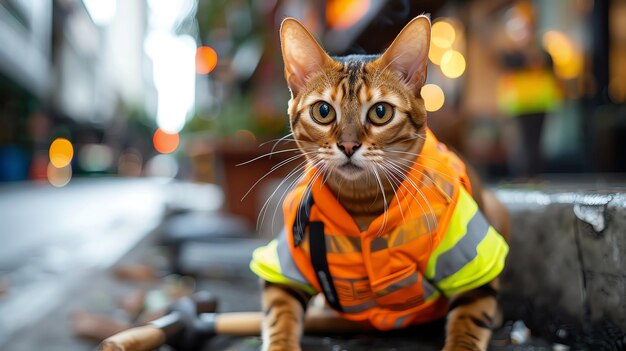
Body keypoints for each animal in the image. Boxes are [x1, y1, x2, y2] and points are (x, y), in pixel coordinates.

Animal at [256, 15, 510, 350]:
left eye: (380, 112)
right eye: (323, 111)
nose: (348, 145)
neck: (363, 205)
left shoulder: (477, 263)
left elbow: (469, 322)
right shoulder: (282, 266)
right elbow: (279, 315)